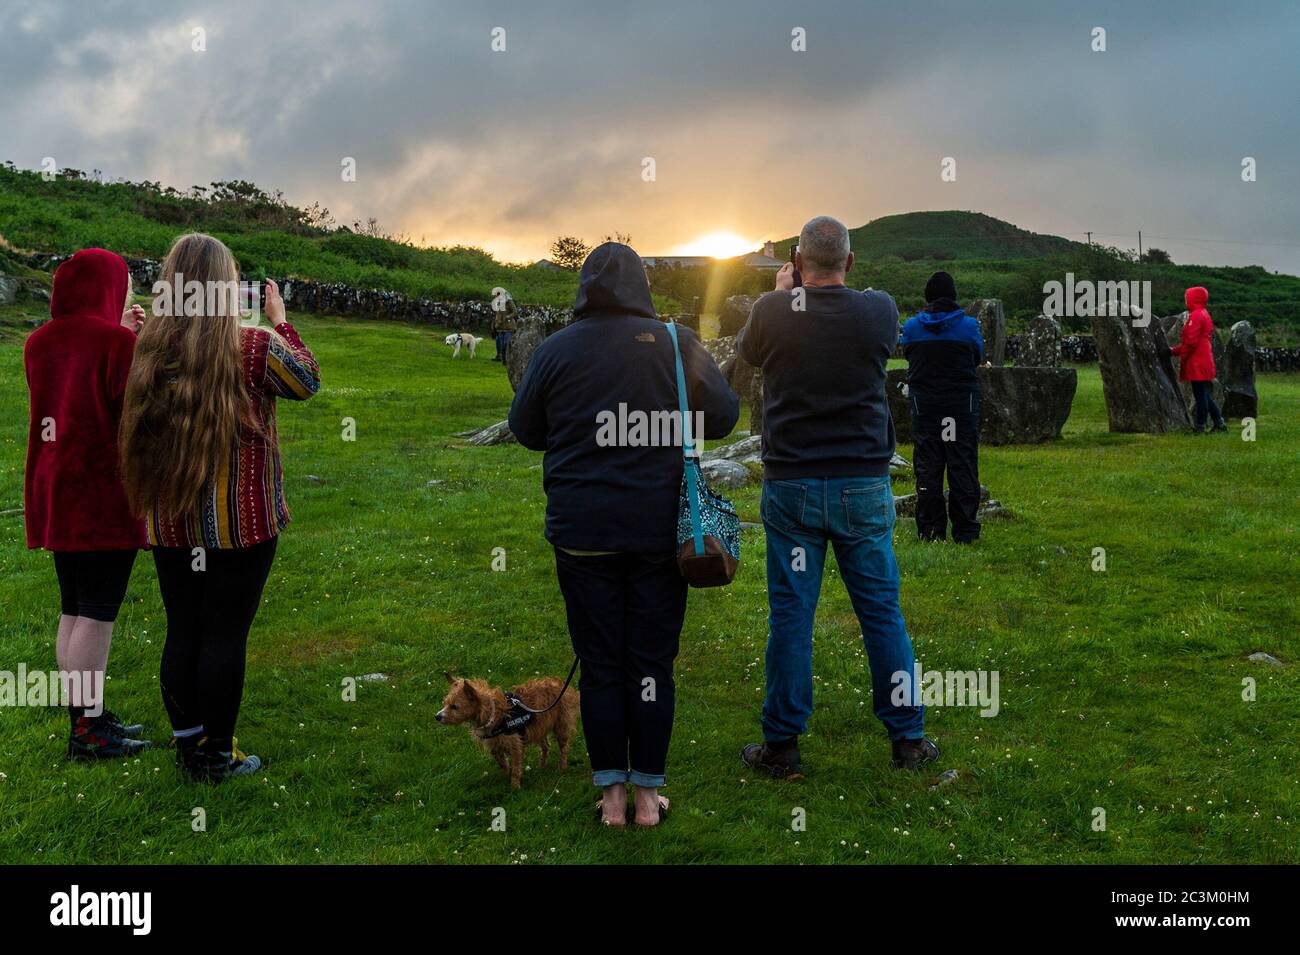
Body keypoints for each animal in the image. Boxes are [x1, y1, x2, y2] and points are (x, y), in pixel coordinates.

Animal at [436, 670, 579, 789]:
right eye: (445, 703)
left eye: (455, 707)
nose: (437, 716)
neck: (492, 714)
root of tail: (561, 684)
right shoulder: (494, 746)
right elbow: (503, 764)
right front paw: (505, 776)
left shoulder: (515, 745)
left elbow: (515, 768)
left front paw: (515, 786)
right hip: (540, 726)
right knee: (545, 746)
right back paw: (542, 766)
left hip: (561, 726)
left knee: (564, 748)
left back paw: (562, 767)